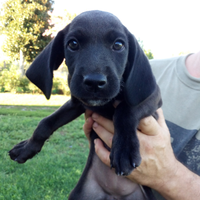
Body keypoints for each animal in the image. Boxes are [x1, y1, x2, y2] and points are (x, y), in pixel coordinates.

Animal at [9, 11, 162, 200]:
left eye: (118, 44)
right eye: (73, 44)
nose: (95, 82)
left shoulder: (152, 96)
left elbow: (126, 110)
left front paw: (124, 149)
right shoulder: (77, 103)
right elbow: (45, 123)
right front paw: (26, 148)